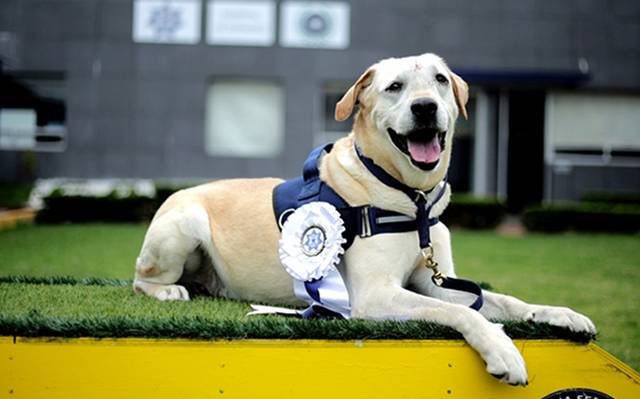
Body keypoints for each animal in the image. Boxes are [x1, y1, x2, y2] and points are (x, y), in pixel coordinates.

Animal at [134, 52, 596, 384]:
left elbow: (506, 302)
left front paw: (561, 314)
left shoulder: (438, 281)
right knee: (143, 280)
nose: (425, 108)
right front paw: (503, 351)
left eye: (440, 81)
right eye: (395, 87)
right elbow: (464, 314)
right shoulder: (377, 295)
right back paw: (169, 290)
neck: (412, 199)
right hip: (182, 227)